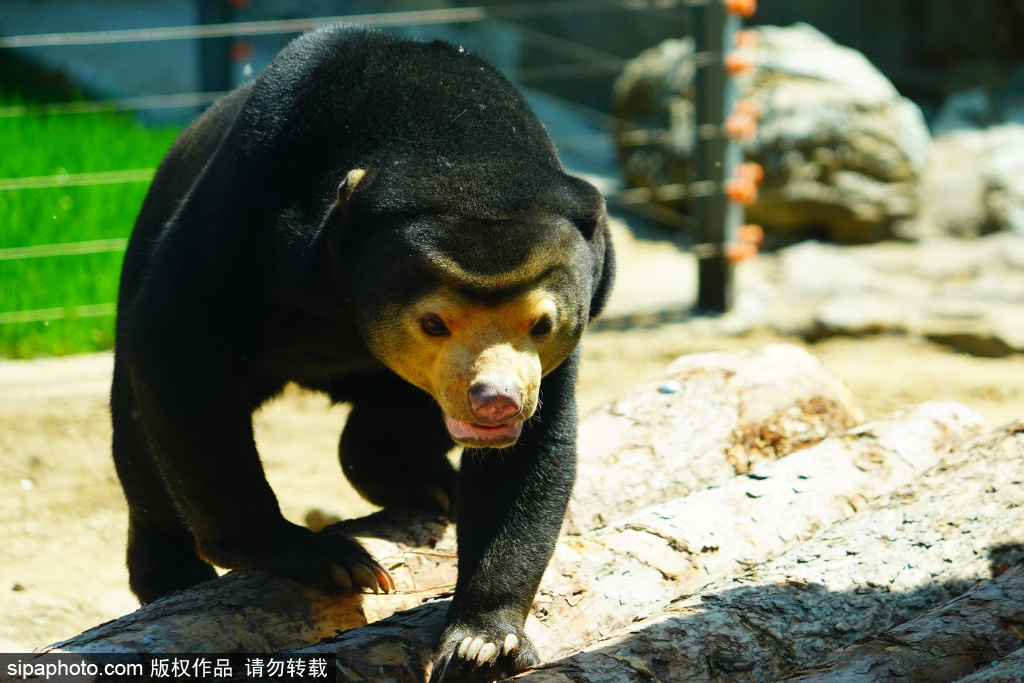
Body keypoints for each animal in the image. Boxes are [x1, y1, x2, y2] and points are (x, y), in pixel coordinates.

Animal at [110, 24, 613, 683]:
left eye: (542, 322)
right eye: (433, 322)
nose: (495, 402)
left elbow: (533, 454)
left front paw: (484, 642)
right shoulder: (249, 198)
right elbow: (180, 343)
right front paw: (325, 557)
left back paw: (431, 486)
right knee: (138, 433)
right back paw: (171, 575)